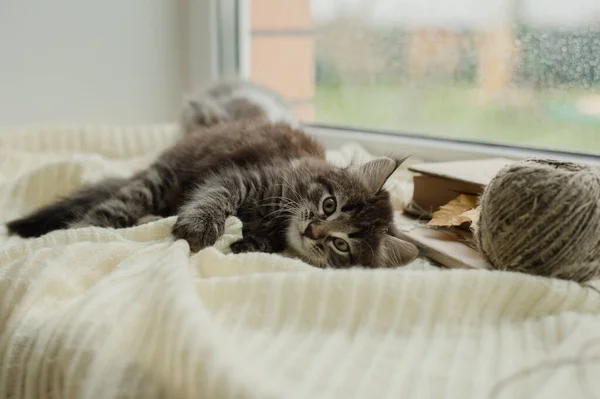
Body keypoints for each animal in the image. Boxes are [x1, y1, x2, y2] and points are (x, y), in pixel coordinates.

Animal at [7, 80, 420, 268]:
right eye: (330, 205)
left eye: (341, 245)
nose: (313, 231)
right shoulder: (240, 177)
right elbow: (214, 197)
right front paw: (200, 227)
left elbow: (259, 243)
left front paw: (245, 245)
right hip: (160, 180)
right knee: (113, 206)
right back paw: (81, 230)